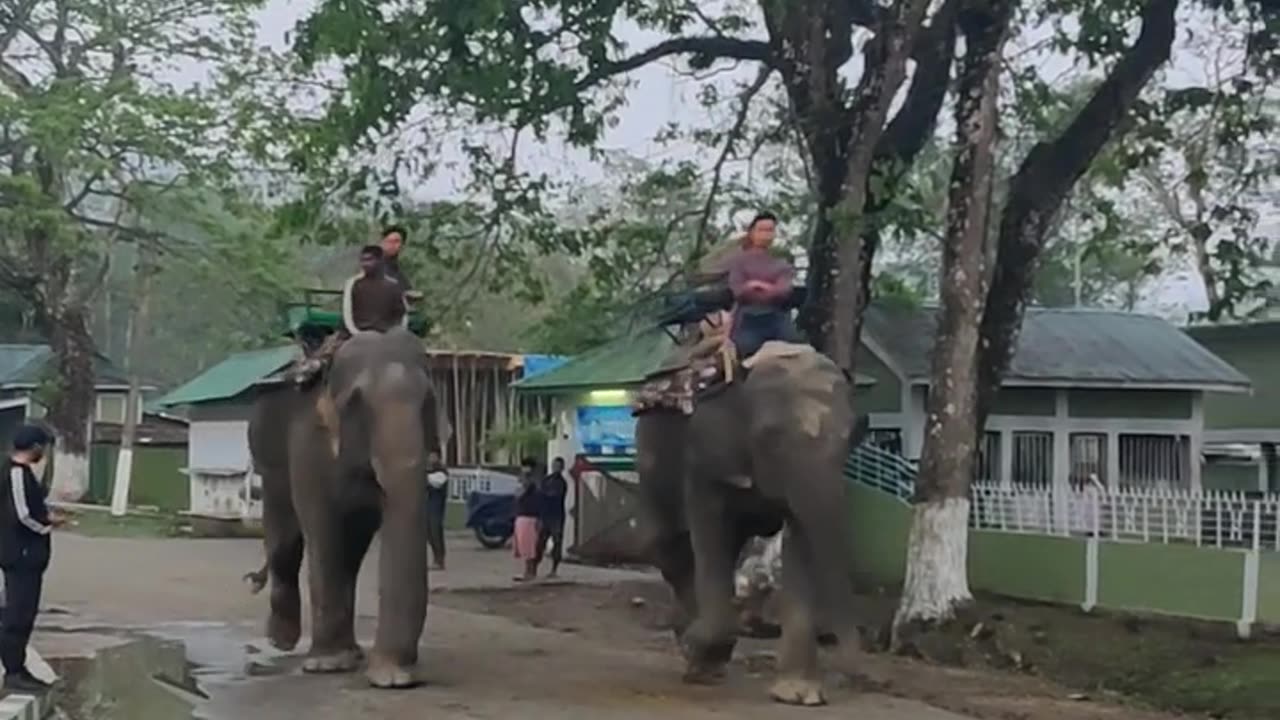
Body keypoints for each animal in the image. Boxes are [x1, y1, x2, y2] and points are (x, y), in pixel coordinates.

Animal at [247, 327, 442, 686]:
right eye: (357, 402)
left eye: (428, 403)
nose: (401, 676)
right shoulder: (308, 441)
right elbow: (322, 526)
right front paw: (327, 665)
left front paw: (389, 677)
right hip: (267, 452)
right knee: (285, 535)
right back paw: (282, 641)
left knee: (349, 548)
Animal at [637, 340, 870, 702]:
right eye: (770, 437)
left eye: (849, 439)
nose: (858, 681)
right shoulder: (704, 454)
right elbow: (709, 528)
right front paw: (696, 644)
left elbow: (799, 537)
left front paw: (798, 695)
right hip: (649, 452)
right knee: (669, 547)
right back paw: (697, 653)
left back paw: (705, 661)